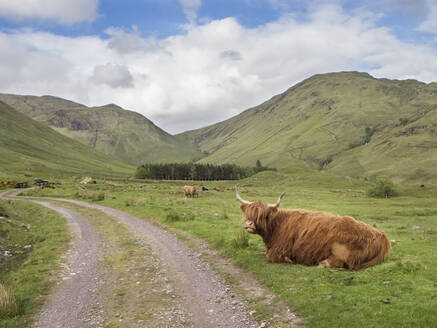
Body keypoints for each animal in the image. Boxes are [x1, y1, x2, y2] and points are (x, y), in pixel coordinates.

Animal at [237, 188, 390, 270]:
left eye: (262, 215)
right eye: (248, 213)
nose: (249, 225)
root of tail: (382, 236)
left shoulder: (279, 249)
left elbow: (270, 256)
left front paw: (289, 259)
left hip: (342, 249)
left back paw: (322, 263)